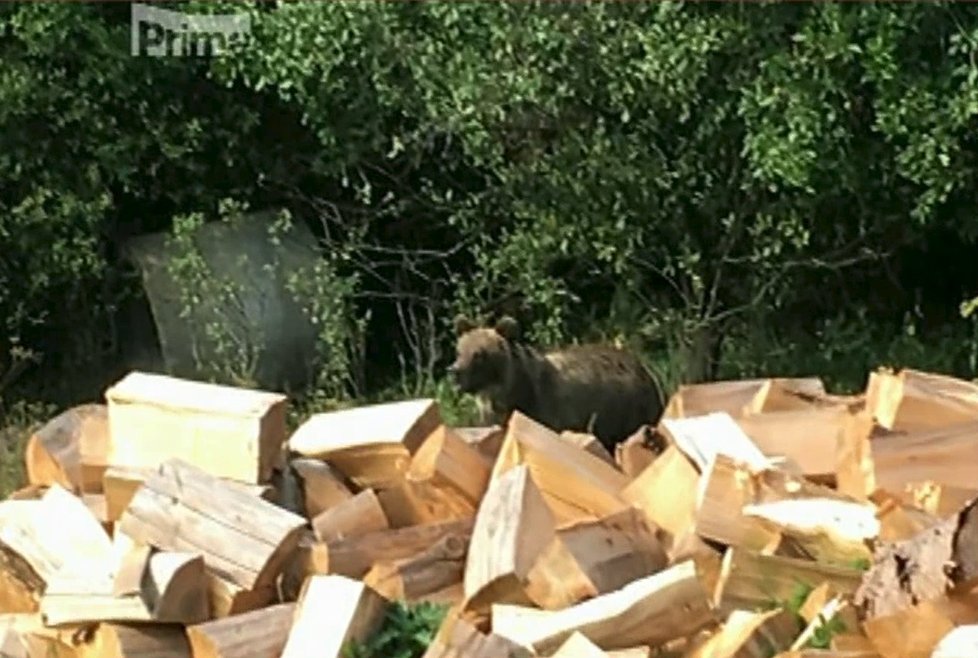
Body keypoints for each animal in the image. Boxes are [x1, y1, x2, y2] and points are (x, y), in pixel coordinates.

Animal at [448, 312, 664, 452]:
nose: (454, 371)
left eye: (479, 355)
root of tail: (644, 368)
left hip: (626, 411)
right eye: (459, 351)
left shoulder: (545, 410)